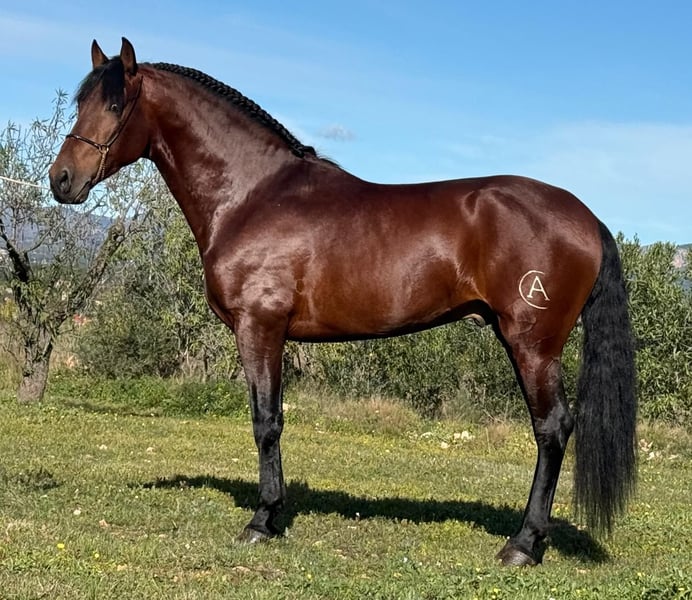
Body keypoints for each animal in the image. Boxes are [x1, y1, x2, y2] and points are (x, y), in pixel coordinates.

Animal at [49, 38, 637, 567]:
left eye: (116, 105)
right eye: (81, 103)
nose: (62, 180)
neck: (253, 196)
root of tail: (586, 217)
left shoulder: (259, 327)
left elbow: (266, 422)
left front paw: (263, 520)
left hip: (532, 343)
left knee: (552, 429)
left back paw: (523, 545)